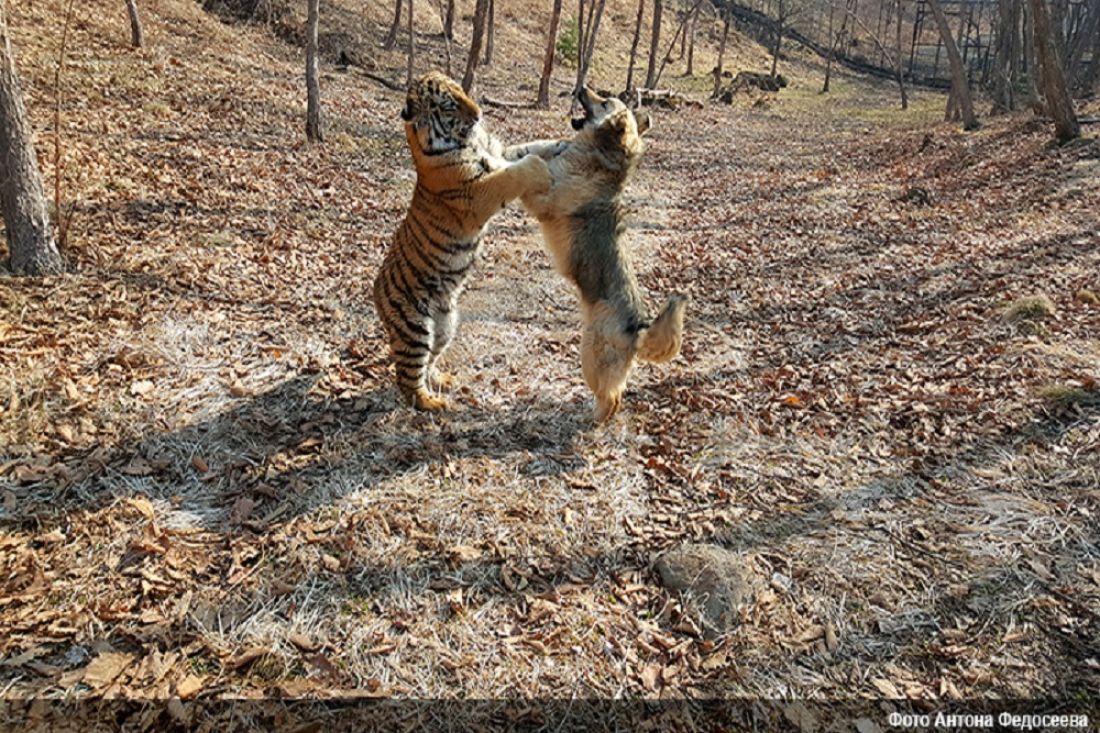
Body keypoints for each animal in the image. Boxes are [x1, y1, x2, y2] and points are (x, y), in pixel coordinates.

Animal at [521, 85, 686, 420]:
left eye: (605, 102)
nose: (581, 87)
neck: (599, 155)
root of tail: (639, 326)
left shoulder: (546, 195)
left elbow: (532, 168)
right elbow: (530, 150)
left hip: (590, 354)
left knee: (611, 398)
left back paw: (591, 419)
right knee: (617, 395)